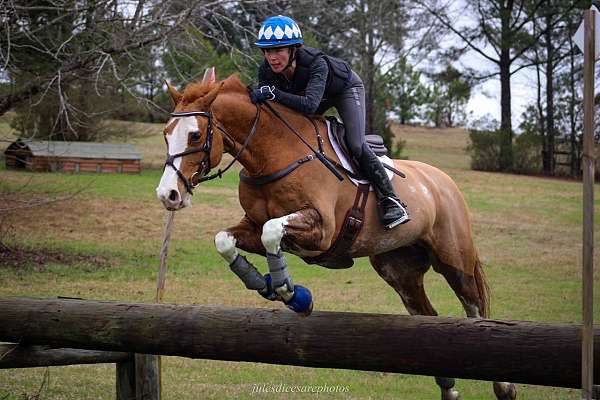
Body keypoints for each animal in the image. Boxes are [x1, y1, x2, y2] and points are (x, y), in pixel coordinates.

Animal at [157, 70, 516, 400]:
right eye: (166, 134)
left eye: (194, 135)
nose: (168, 195)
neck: (273, 154)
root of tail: (443, 180)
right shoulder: (253, 227)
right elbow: (225, 240)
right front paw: (266, 285)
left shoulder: (321, 231)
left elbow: (274, 232)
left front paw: (290, 292)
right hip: (399, 270)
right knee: (427, 315)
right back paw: (448, 388)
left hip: (454, 259)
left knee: (474, 307)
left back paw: (503, 386)